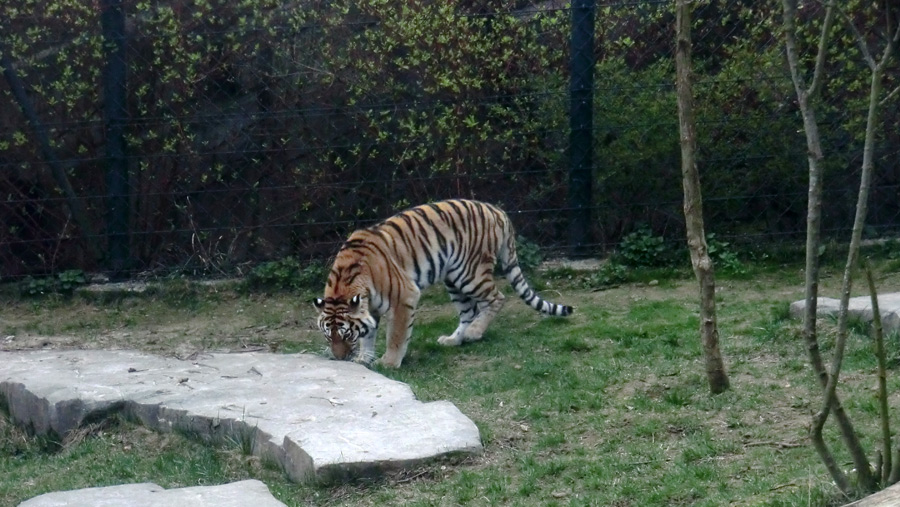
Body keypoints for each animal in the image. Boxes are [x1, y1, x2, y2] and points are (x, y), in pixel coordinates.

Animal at [312, 198, 572, 370]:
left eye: (346, 335)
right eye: (329, 336)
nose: (339, 358)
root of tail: (498, 211)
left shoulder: (404, 297)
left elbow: (396, 335)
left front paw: (389, 362)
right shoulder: (370, 308)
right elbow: (369, 335)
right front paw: (363, 359)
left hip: (470, 274)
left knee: (496, 298)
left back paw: (475, 332)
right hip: (453, 280)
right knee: (469, 312)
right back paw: (454, 340)